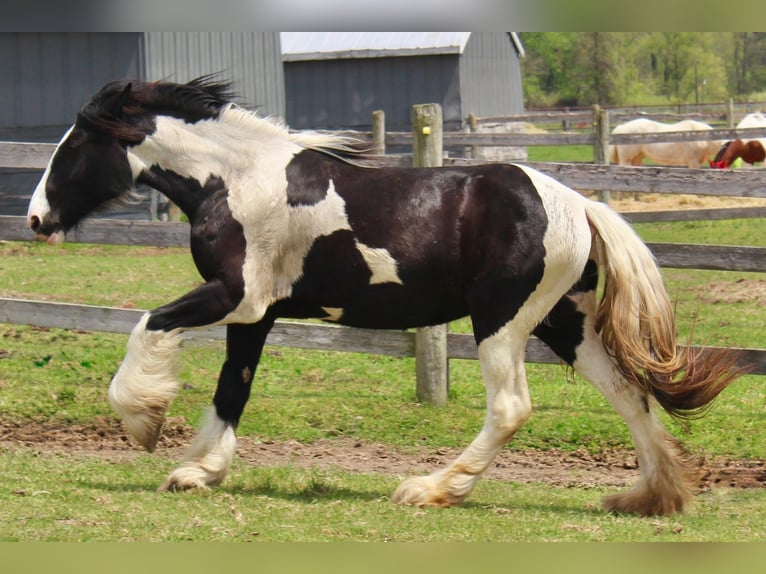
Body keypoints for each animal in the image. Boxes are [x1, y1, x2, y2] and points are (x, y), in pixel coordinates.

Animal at [27, 77, 741, 517]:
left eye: (74, 147)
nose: (35, 219)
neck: (236, 181)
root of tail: (580, 205)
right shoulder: (255, 314)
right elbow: (234, 388)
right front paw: (200, 471)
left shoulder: (234, 295)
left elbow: (149, 324)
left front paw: (143, 422)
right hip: (565, 324)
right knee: (629, 395)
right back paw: (647, 498)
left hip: (502, 321)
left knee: (511, 406)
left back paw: (431, 489)